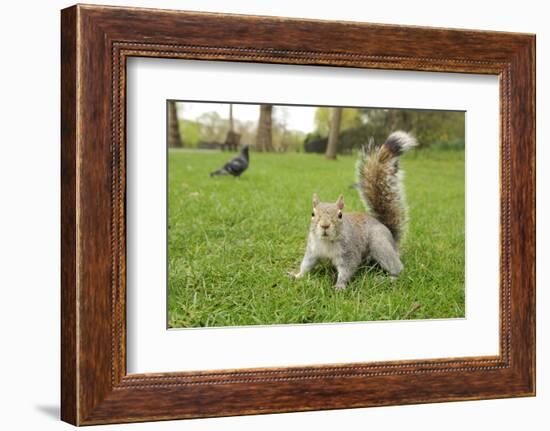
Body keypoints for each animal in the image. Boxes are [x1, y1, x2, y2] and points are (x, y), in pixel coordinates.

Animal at [292, 132, 416, 290]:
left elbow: (347, 269)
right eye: (312, 214)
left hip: (380, 244)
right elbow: (306, 265)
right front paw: (297, 275)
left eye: (340, 215)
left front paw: (339, 286)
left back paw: (389, 278)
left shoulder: (350, 253)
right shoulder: (312, 250)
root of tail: (392, 237)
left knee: (397, 267)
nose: (325, 225)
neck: (327, 242)